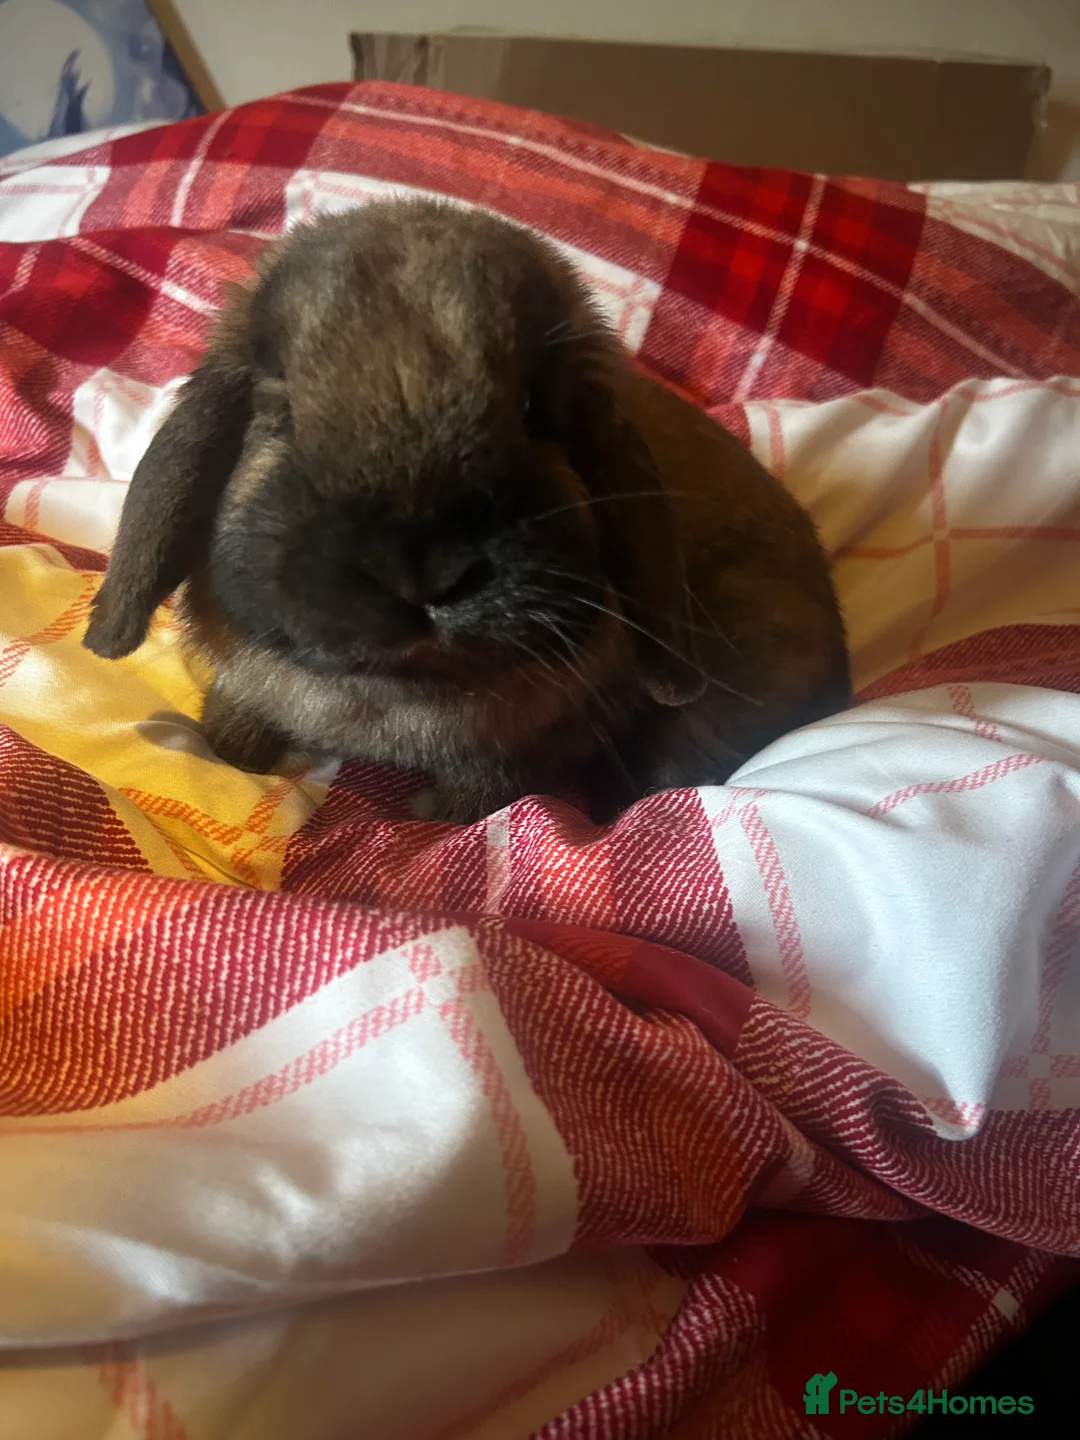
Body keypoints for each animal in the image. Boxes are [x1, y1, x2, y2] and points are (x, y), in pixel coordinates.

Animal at [83, 198, 850, 824]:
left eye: (534, 409)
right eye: (281, 414)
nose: (423, 574)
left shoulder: (520, 753)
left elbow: (484, 791)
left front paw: (429, 819)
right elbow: (237, 722)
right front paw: (224, 753)